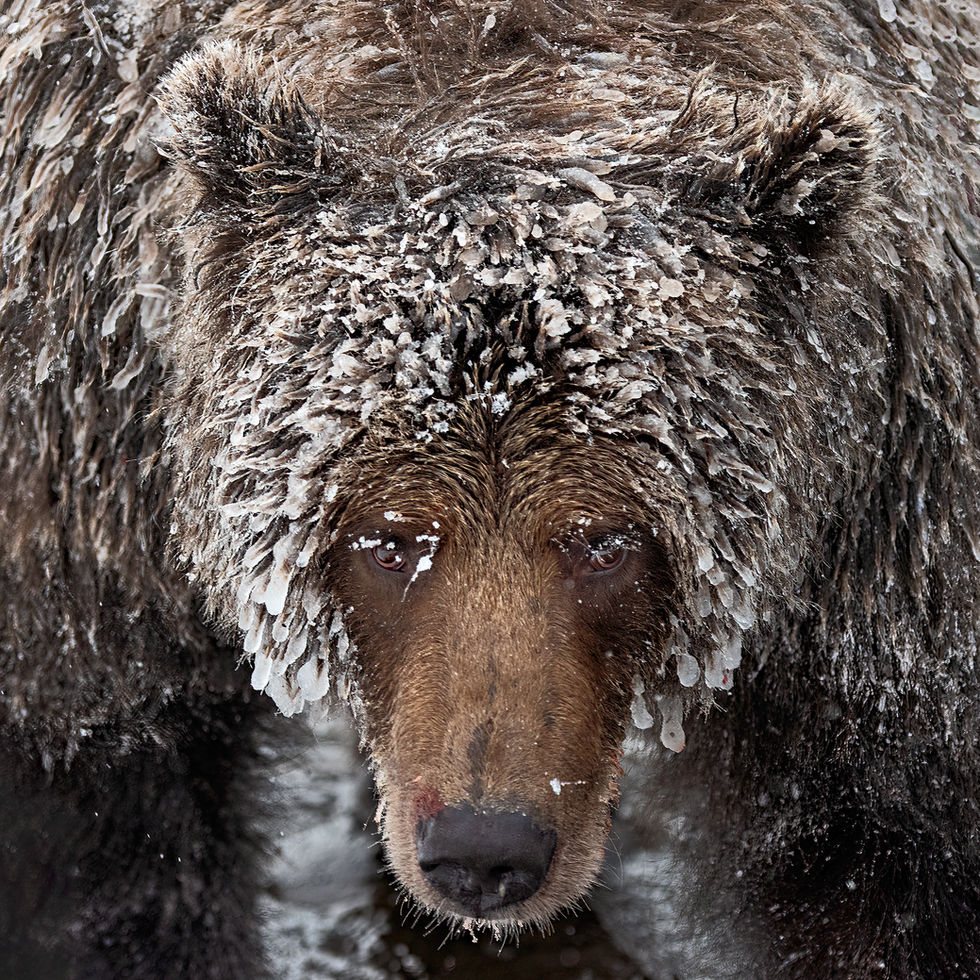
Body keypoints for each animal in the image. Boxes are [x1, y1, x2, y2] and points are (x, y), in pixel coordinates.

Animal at [1, 0, 978, 977]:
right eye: (389, 540)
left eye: (605, 540)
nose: (483, 851)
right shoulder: (82, 416)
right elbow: (108, 825)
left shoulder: (896, 501)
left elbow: (881, 860)